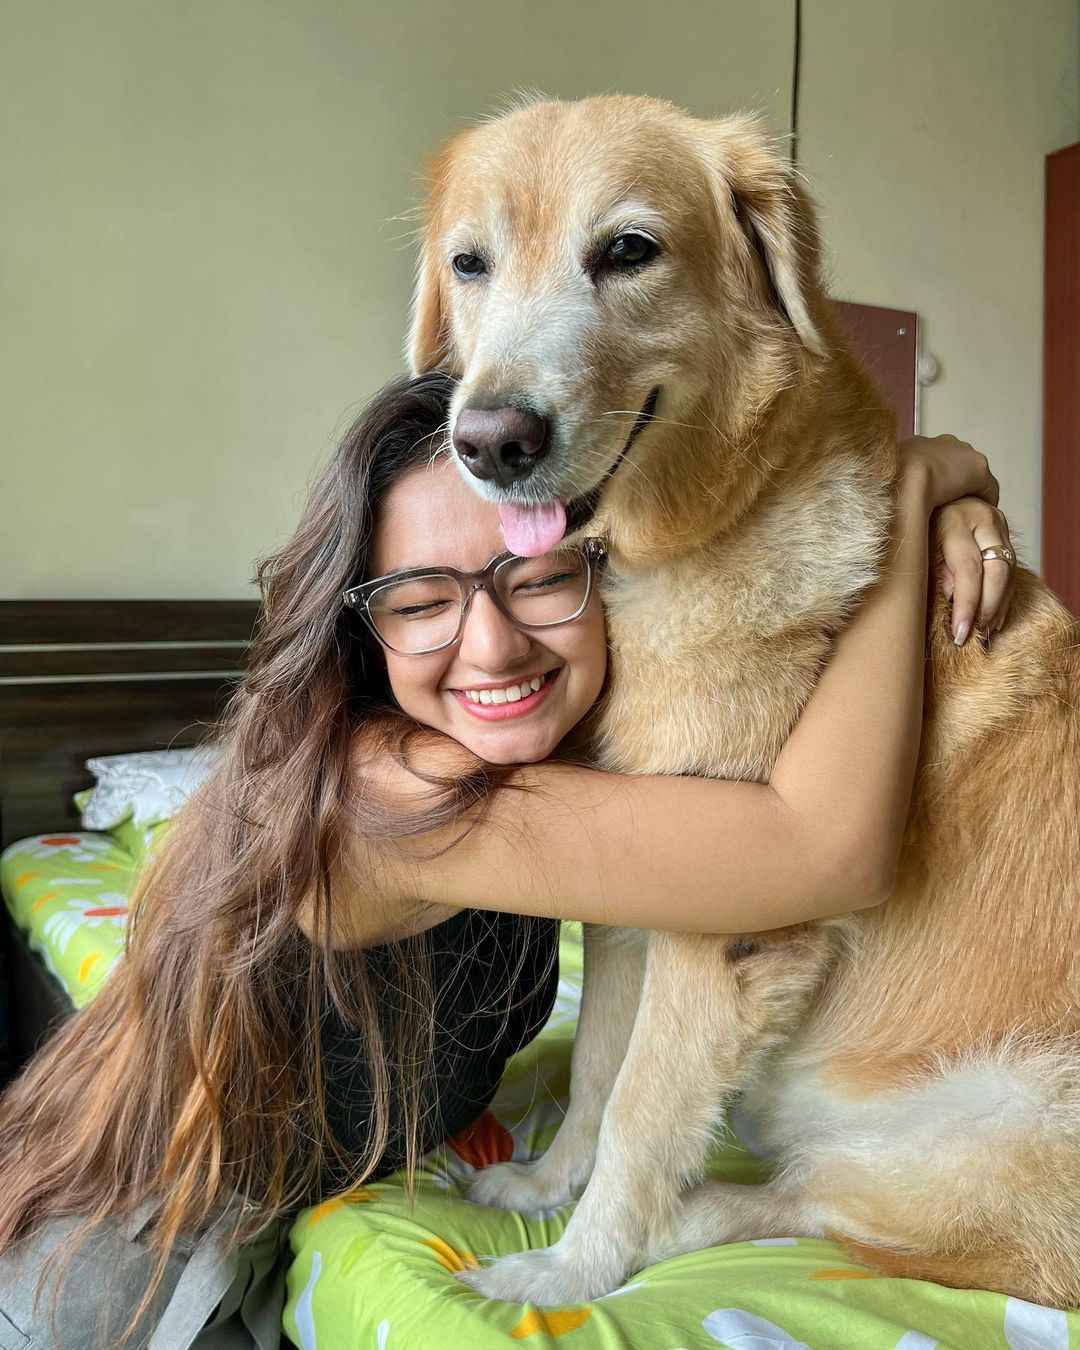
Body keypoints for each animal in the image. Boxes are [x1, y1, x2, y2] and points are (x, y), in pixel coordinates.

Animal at [405, 92, 1080, 1306]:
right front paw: (545, 1188)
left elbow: (640, 1106)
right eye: (469, 263)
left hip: (1007, 1124)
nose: (488, 442)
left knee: (812, 1210)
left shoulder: (723, 933)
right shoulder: (627, 899)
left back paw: (678, 1225)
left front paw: (574, 1266)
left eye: (629, 251)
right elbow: (597, 1070)